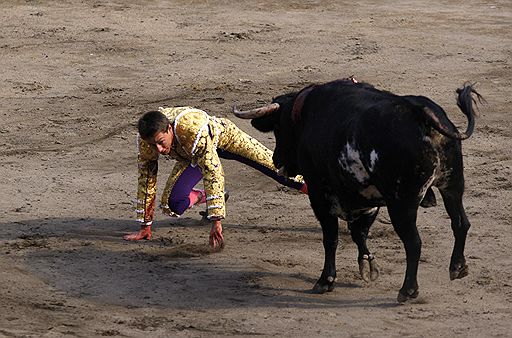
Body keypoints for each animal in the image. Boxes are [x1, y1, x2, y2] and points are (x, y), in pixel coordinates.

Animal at [234, 80, 482, 304]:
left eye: (277, 128)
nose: (276, 160)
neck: (305, 115)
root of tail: (421, 113)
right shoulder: (366, 197)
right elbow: (359, 233)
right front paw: (368, 265)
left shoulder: (319, 195)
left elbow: (331, 238)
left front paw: (326, 280)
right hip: (453, 185)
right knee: (461, 223)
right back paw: (458, 267)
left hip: (401, 203)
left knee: (414, 242)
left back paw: (408, 290)